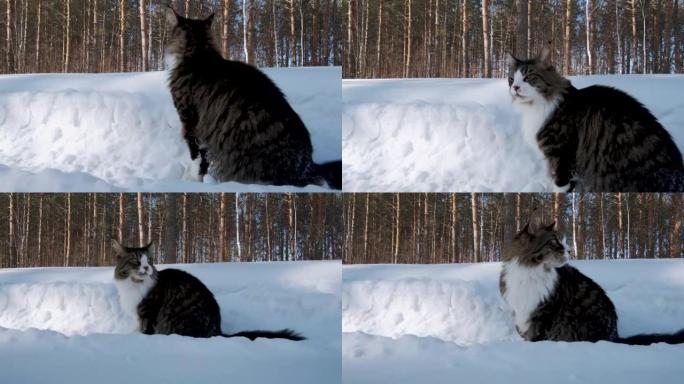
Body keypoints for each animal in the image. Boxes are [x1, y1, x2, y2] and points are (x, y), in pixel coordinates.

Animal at [113, 238, 304, 340]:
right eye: (137, 261)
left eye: (149, 261)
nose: (147, 268)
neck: (133, 284)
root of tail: (218, 331)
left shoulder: (148, 313)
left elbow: (144, 331)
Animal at [163, 7, 340, 189]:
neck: (199, 55)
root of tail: (307, 165)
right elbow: (204, 159)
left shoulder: (190, 122)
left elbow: (195, 157)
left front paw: (193, 180)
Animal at [496, 213, 684, 344]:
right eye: (555, 241)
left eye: (562, 241)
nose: (570, 250)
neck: (531, 271)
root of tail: (615, 337)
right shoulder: (521, 311)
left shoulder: (542, 314)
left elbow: (533, 337)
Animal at [504, 48, 680, 192]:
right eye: (511, 79)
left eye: (528, 77)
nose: (515, 88)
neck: (536, 106)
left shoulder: (562, 156)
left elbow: (560, 185)